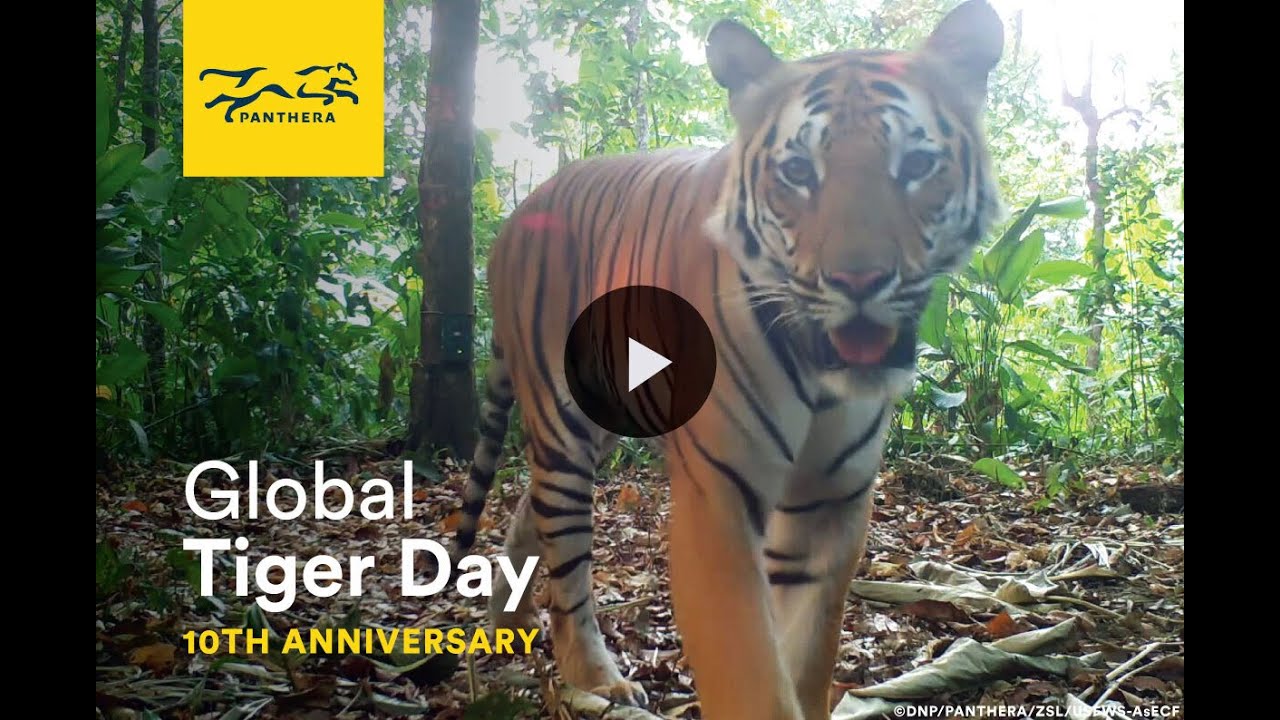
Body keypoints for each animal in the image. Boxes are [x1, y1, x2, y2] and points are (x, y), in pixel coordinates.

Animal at [450, 2, 1005, 718]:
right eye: (798, 173)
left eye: (916, 164)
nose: (858, 281)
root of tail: (517, 215)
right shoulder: (718, 502)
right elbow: (752, 679)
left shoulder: (832, 502)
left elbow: (805, 657)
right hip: (562, 413)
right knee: (567, 551)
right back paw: (596, 677)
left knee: (533, 506)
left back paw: (509, 620)